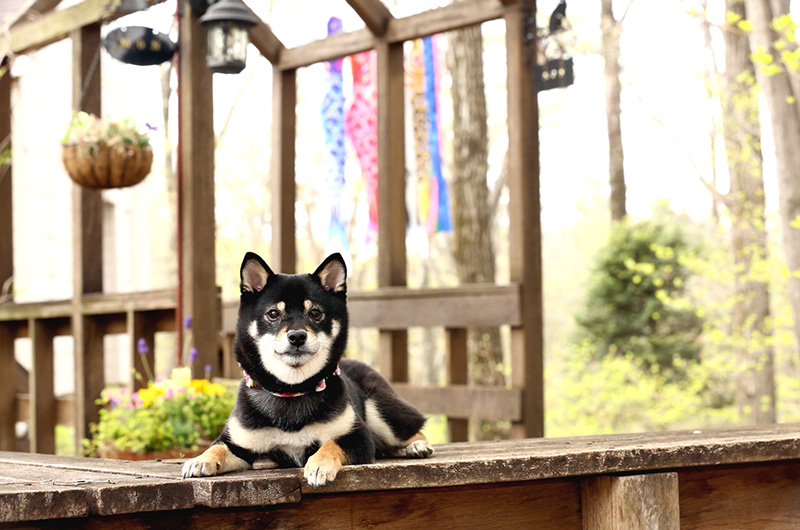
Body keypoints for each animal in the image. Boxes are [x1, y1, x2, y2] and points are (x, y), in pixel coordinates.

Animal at [182, 251, 434, 482]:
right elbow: (217, 447)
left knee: (411, 429)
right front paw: (200, 459)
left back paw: (417, 446)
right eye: (273, 313)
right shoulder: (238, 442)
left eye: (315, 313)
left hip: (381, 411)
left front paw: (320, 464)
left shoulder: (358, 438)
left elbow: (330, 444)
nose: (297, 336)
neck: (292, 390)